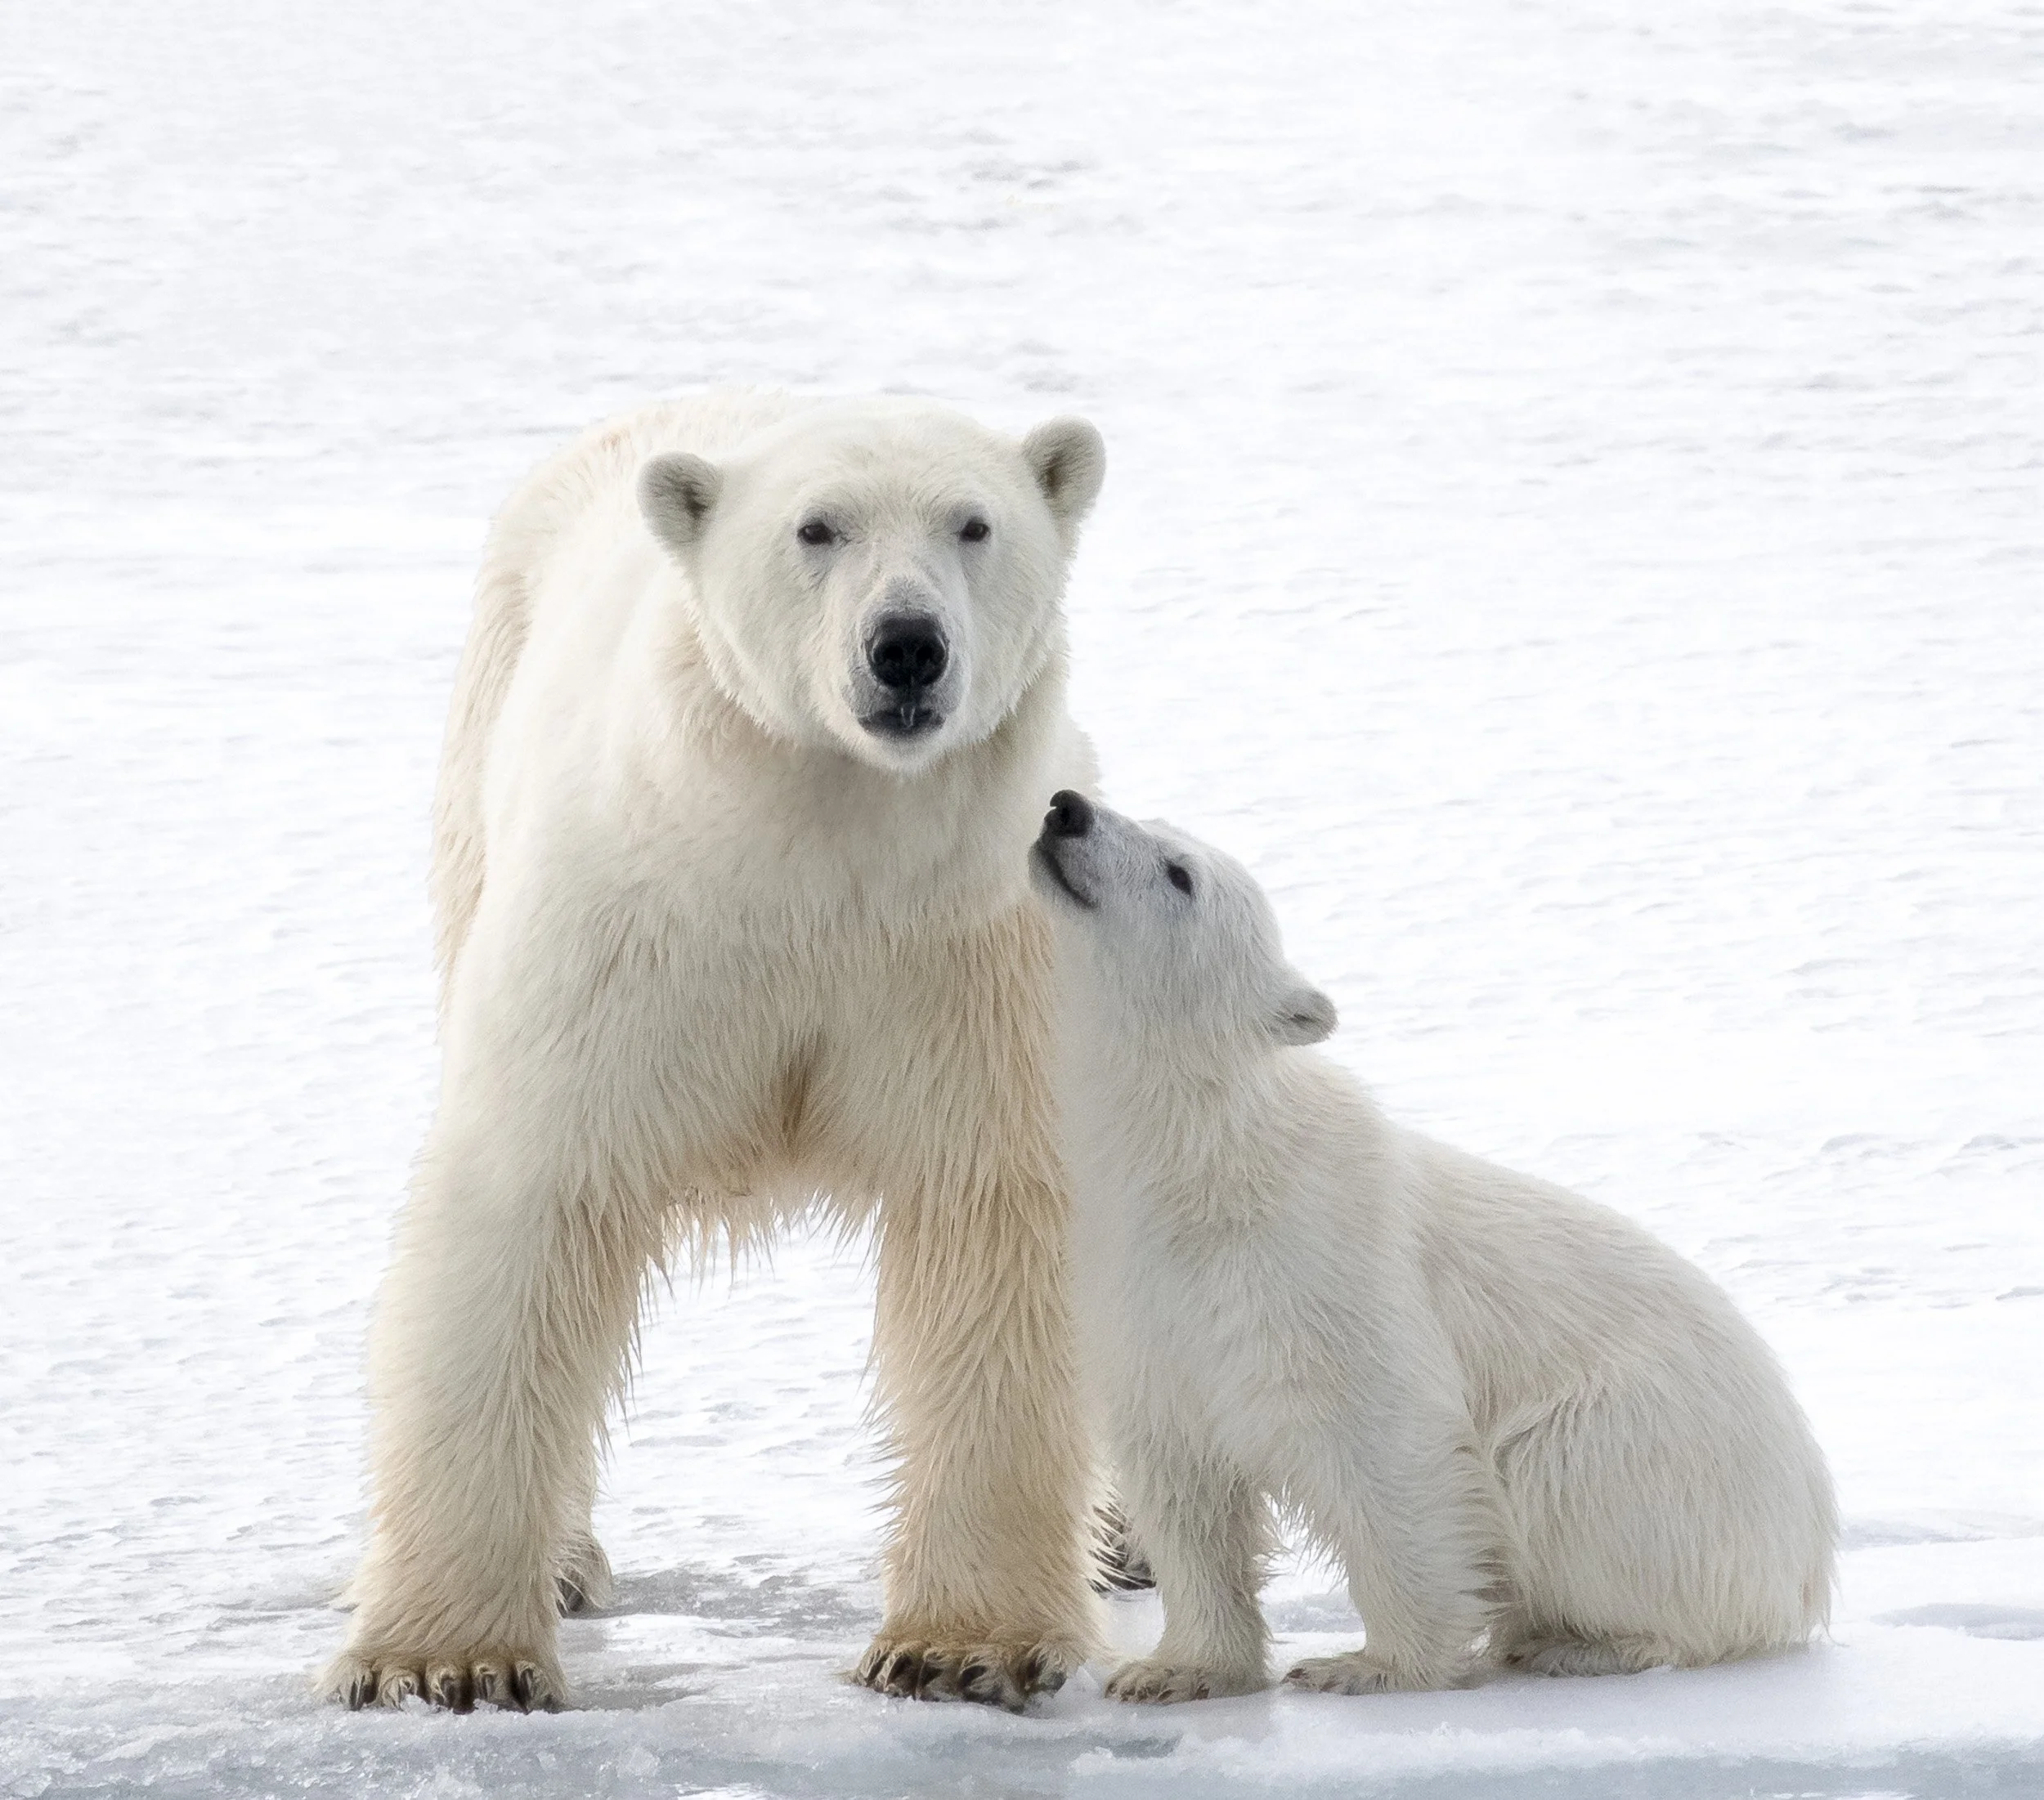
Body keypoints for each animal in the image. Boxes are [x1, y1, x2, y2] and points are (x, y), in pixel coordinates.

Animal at [323, 392, 1109, 1714]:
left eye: (973, 523)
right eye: (817, 527)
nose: (906, 646)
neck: (814, 850)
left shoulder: (966, 955)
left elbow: (990, 1217)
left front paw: (959, 1645)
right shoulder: (633, 935)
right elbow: (532, 1203)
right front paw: (446, 1660)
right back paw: (567, 1559)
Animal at [1029, 790, 1836, 1703]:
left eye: (1180, 872)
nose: (1067, 807)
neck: (1202, 1167)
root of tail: (1812, 1558)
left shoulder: (1326, 1272)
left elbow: (1388, 1447)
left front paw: (1365, 1665)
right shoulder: (1141, 1299)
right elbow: (1184, 1485)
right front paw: (1174, 1670)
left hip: (1658, 1452)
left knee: (1558, 1477)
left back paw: (1576, 1641)